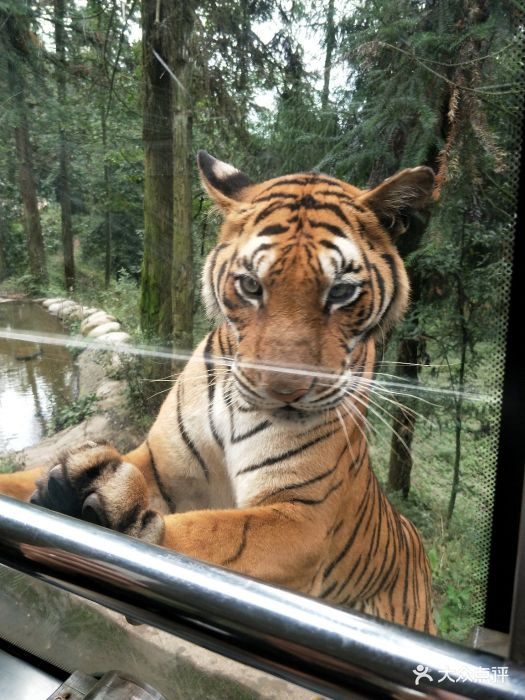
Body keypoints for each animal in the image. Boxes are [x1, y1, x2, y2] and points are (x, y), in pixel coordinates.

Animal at [0, 152, 436, 636]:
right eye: (250, 286)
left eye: (340, 292)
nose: (282, 391)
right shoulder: (158, 461)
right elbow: (20, 480)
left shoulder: (304, 517)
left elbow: (212, 536)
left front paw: (114, 516)